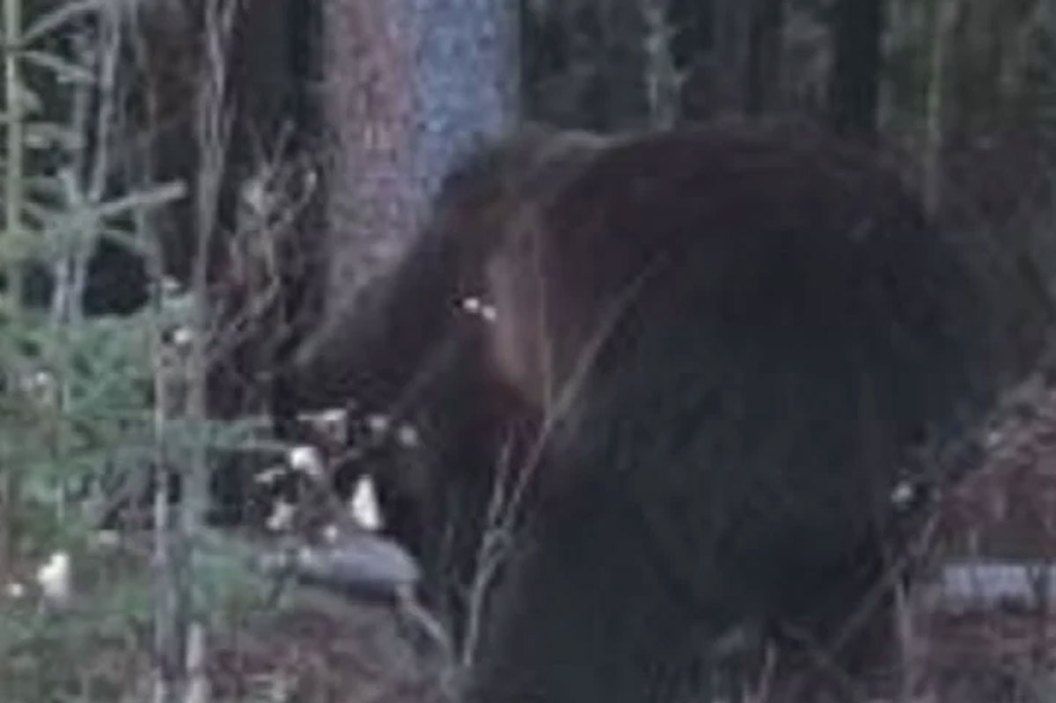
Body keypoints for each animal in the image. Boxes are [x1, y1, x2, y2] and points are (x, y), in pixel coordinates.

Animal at [279, 122, 1047, 701]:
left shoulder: (501, 363)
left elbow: (480, 495)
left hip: (706, 370)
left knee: (597, 569)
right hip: (887, 478)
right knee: (854, 607)